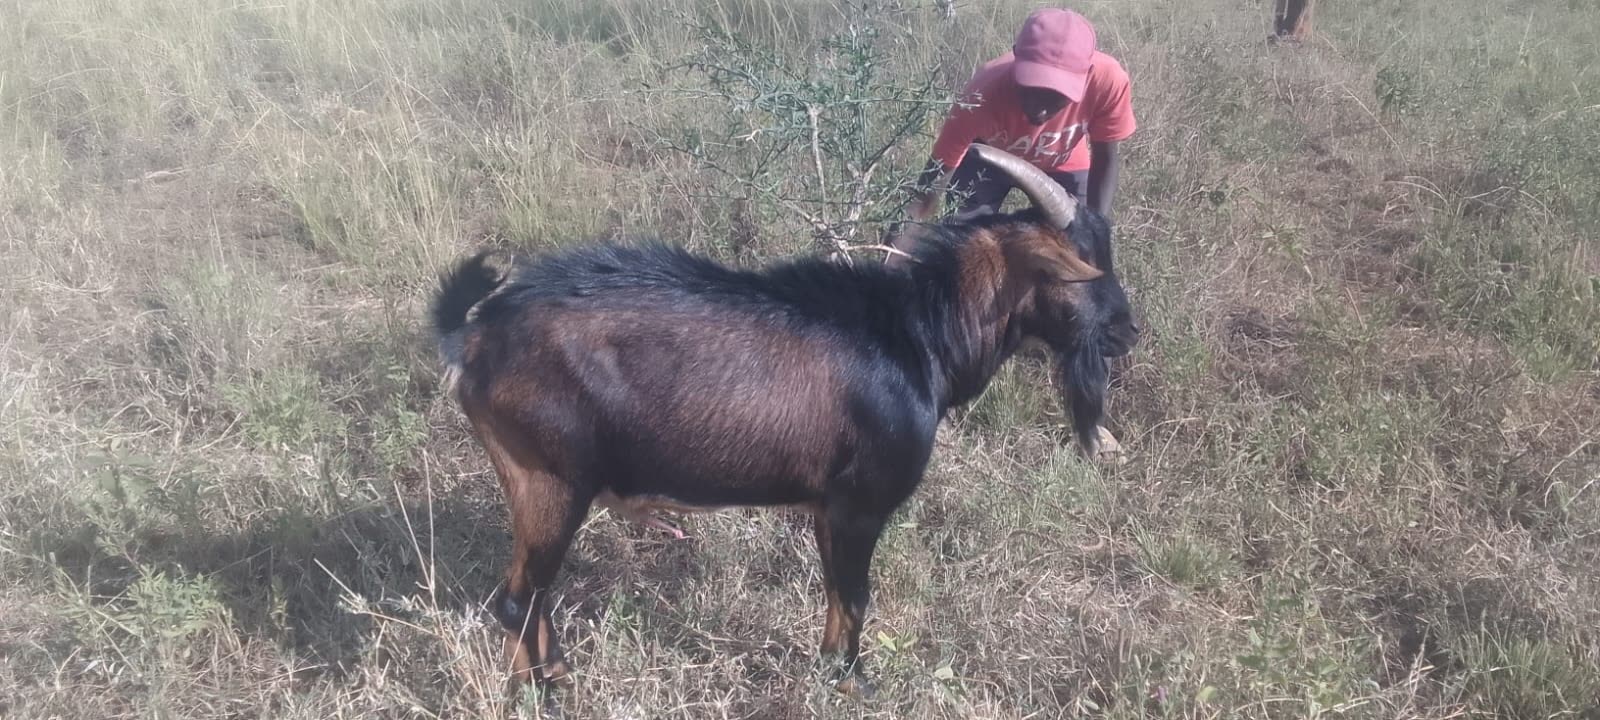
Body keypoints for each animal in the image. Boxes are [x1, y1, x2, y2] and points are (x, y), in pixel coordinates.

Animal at [430, 144, 1135, 694]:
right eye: (1079, 264)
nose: (1127, 331)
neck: (919, 334)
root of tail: (475, 335)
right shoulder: (860, 503)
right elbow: (855, 594)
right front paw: (854, 681)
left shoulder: (825, 507)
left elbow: (833, 593)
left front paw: (828, 669)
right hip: (548, 479)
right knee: (518, 598)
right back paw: (539, 692)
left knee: (532, 596)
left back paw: (555, 674)